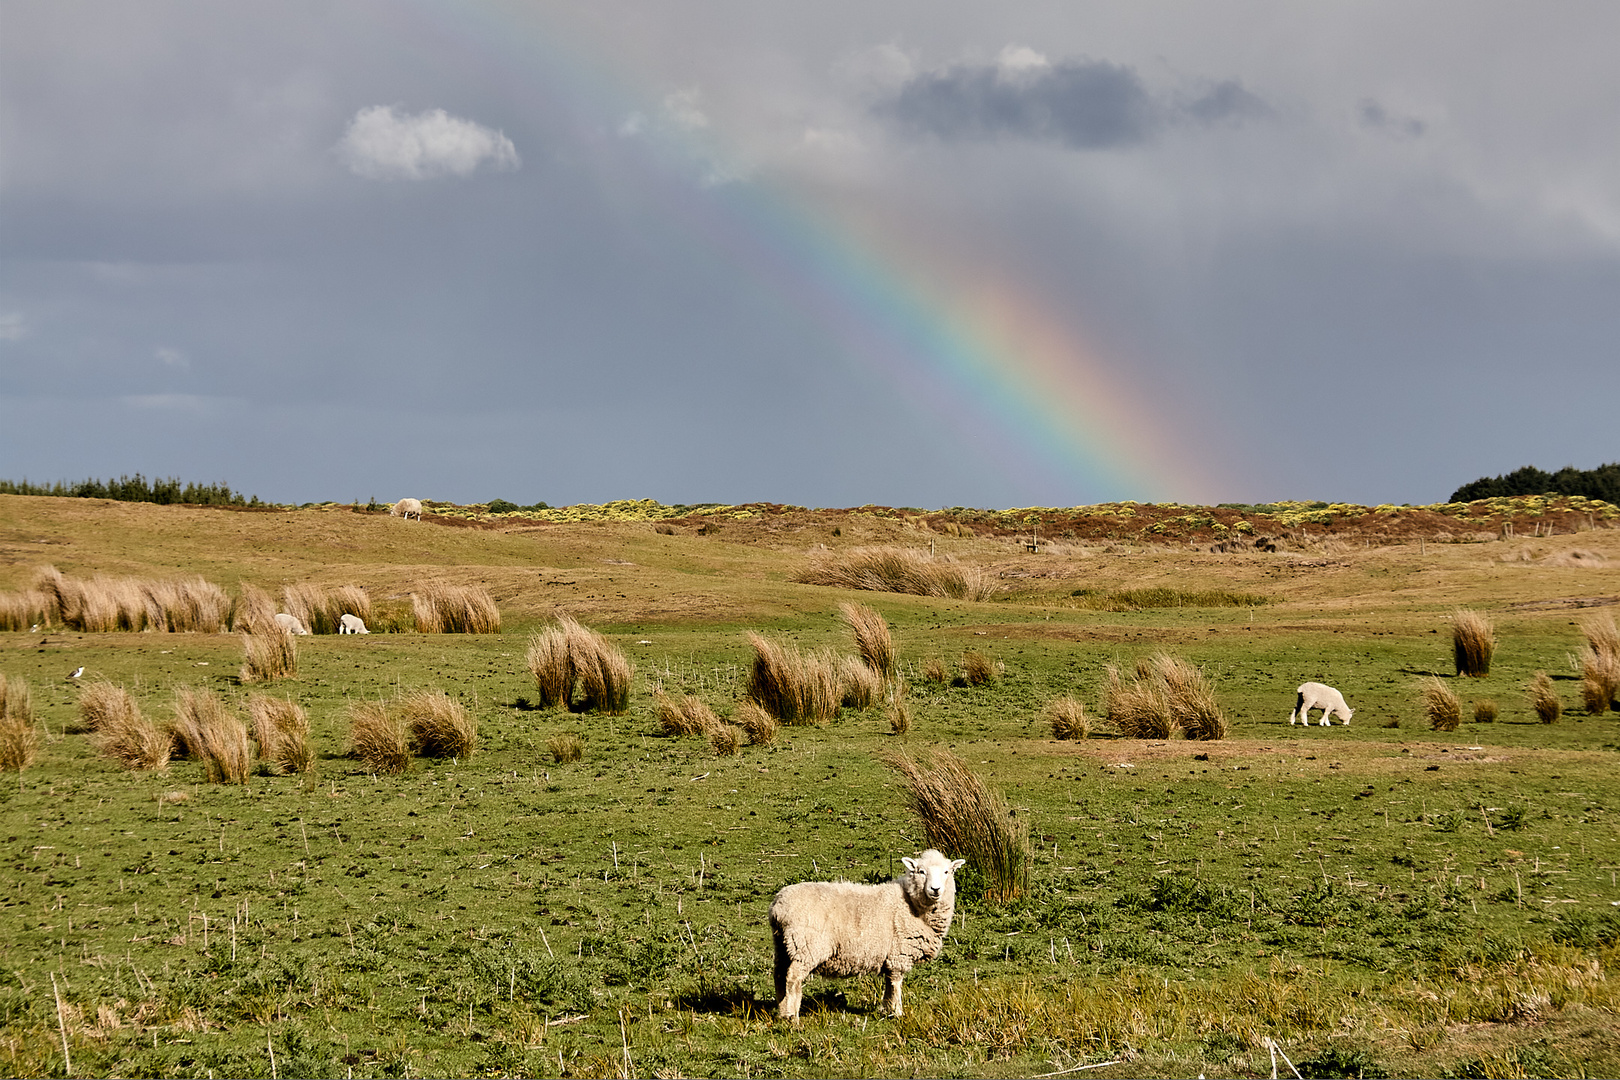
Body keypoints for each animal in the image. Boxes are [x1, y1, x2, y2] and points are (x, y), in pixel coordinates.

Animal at [767, 841, 959, 1023]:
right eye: (921, 871)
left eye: (947, 872)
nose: (935, 889)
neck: (910, 903)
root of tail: (778, 907)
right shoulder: (899, 955)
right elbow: (896, 983)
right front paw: (898, 1012)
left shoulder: (890, 957)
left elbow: (889, 983)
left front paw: (886, 1009)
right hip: (807, 947)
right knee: (793, 978)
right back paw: (792, 1016)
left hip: (783, 944)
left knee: (779, 975)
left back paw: (782, 1012)